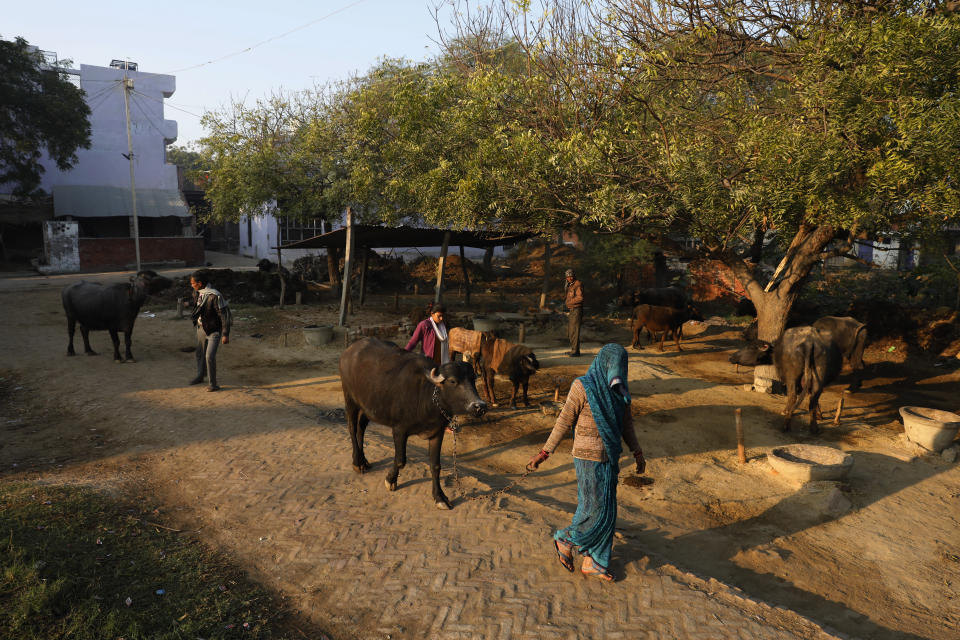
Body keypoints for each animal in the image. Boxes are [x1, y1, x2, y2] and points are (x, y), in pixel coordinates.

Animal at [340, 336, 488, 510]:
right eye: (453, 381)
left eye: (473, 379)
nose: (480, 406)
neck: (427, 398)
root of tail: (349, 351)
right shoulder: (399, 430)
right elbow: (400, 460)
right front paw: (390, 480)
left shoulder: (437, 433)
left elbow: (435, 466)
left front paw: (440, 497)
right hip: (350, 399)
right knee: (351, 427)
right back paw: (357, 462)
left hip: (367, 407)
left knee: (360, 428)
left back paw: (364, 461)